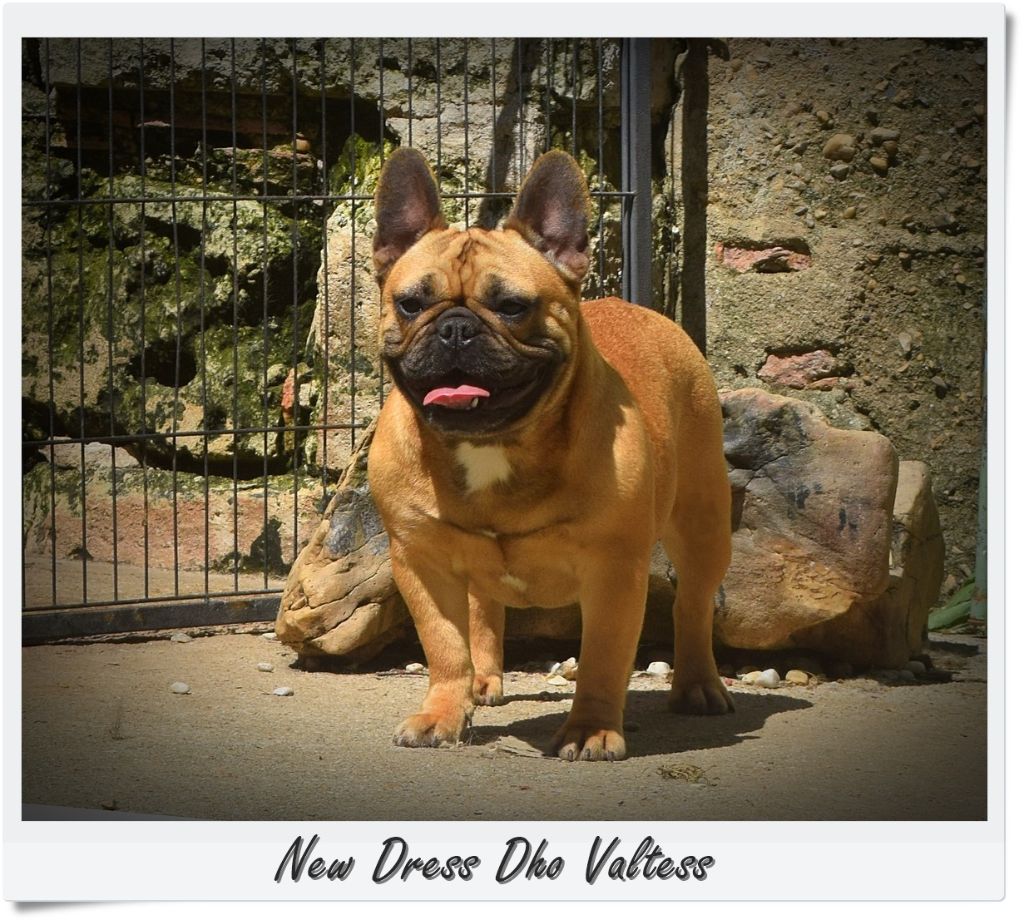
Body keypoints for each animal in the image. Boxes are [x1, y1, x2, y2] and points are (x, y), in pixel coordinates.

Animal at [367, 148, 733, 761]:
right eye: (411, 303)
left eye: (513, 306)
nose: (455, 329)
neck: (494, 442)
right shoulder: (421, 560)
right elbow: (445, 644)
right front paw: (444, 713)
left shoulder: (614, 569)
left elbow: (603, 657)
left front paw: (590, 729)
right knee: (483, 609)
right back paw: (483, 679)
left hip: (704, 524)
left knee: (693, 605)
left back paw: (699, 686)